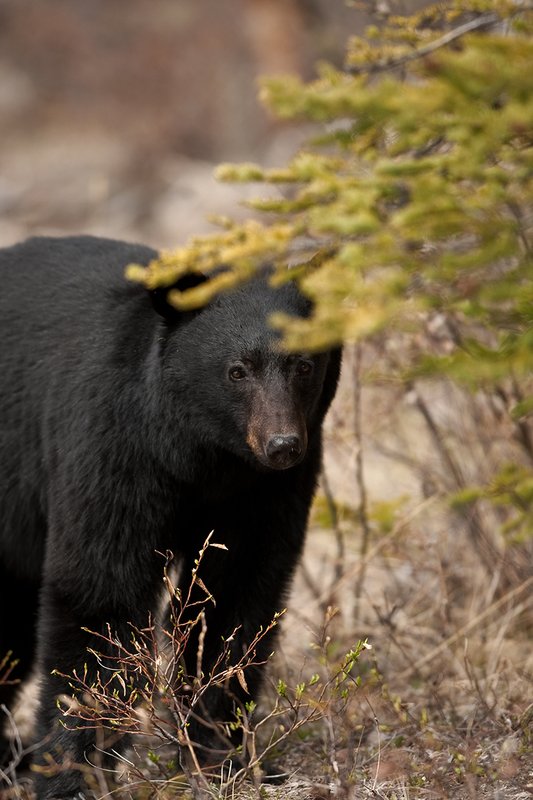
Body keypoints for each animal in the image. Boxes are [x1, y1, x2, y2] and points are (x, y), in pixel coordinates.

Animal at [0, 235, 341, 799]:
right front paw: (72, 773)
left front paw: (222, 756)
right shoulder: (114, 448)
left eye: (304, 366)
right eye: (236, 369)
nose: (283, 445)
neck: (202, 455)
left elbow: (233, 601)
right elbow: (100, 594)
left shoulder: (263, 493)